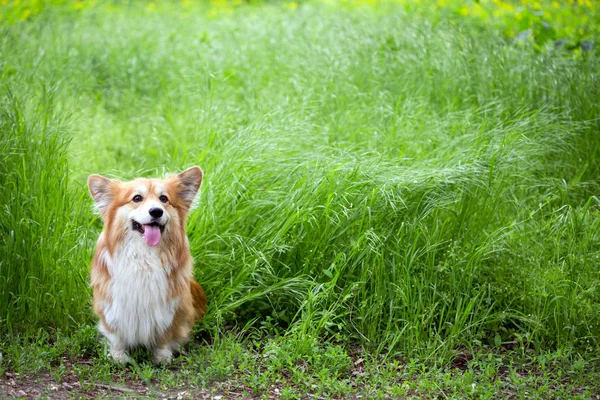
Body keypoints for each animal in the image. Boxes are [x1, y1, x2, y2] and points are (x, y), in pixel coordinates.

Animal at [86, 167, 209, 364]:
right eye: (137, 198)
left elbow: (164, 335)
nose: (156, 211)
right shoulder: (111, 306)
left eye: (164, 199)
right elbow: (116, 335)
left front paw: (162, 357)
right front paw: (118, 356)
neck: (144, 257)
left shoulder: (170, 309)